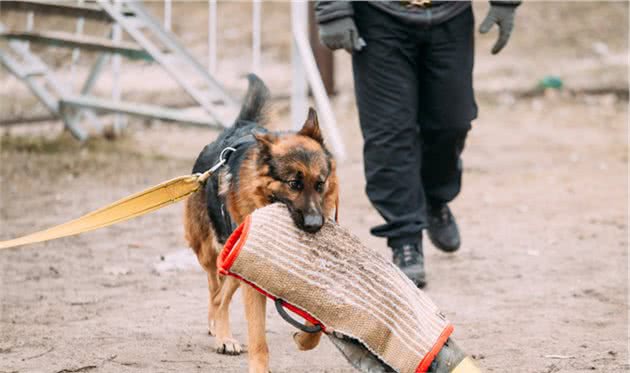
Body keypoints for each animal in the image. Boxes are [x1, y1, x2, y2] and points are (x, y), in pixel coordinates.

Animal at [183, 74, 338, 370]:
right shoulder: (251, 282)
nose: (315, 225)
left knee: (219, 294)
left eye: (320, 183)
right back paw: (223, 336)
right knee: (217, 294)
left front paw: (305, 339)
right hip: (217, 255)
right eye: (294, 184)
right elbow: (258, 339)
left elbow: (316, 323)